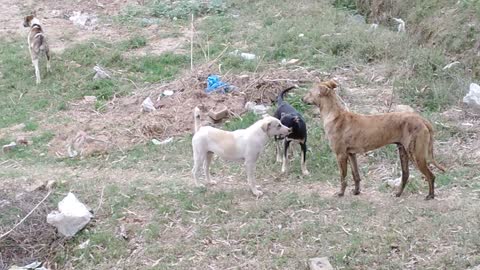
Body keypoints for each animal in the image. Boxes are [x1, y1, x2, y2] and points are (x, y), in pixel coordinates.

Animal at [302, 79, 444, 199]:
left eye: (309, 92)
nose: (301, 98)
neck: (335, 115)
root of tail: (422, 120)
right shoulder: (351, 154)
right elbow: (356, 175)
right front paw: (356, 191)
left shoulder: (340, 155)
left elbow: (343, 177)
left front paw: (341, 193)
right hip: (404, 152)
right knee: (406, 175)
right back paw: (398, 194)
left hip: (416, 155)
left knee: (431, 176)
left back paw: (430, 196)